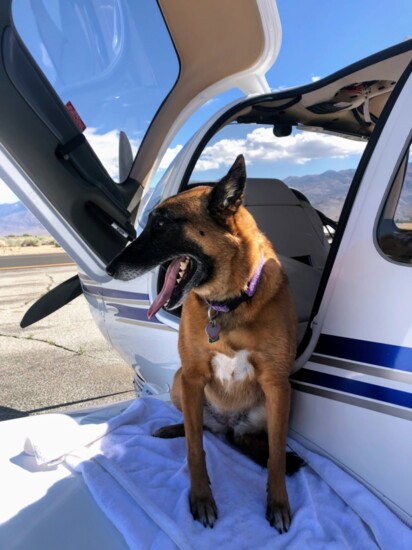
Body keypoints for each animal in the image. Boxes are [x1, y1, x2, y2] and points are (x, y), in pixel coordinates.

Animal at [106, 155, 300, 536]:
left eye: (161, 223)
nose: (109, 267)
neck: (227, 304)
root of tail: (227, 423)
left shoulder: (276, 384)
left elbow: (274, 455)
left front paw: (278, 501)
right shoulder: (193, 376)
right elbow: (195, 449)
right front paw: (201, 499)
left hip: (276, 405)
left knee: (244, 440)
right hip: (179, 382)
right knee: (198, 428)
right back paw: (173, 429)